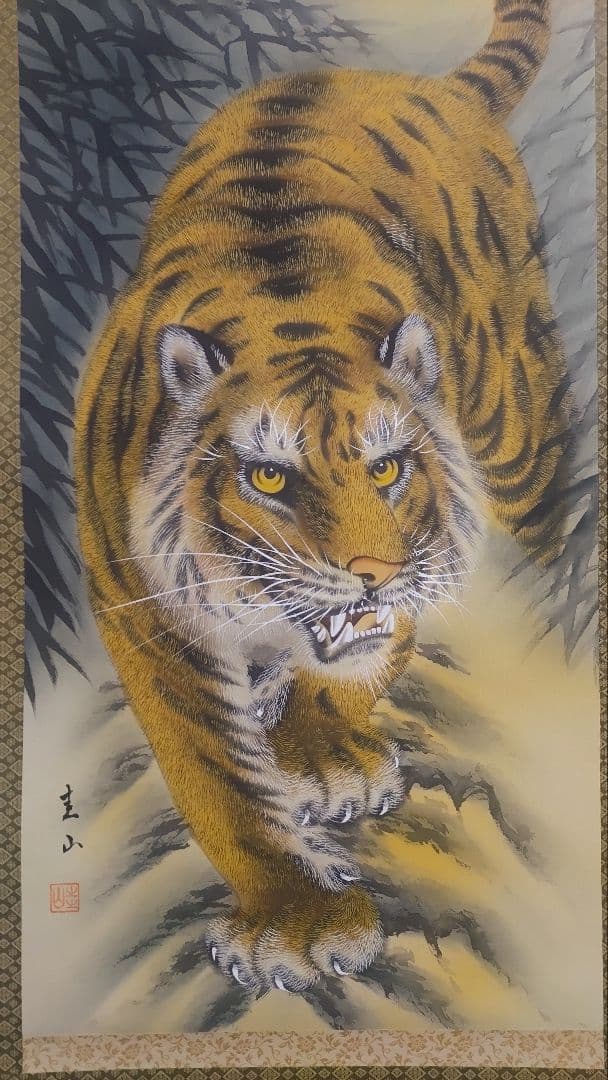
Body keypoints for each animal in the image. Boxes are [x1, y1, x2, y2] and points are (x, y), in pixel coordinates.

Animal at [74, 0, 571, 993]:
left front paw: (324, 757)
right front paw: (297, 922)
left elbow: (367, 660)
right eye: (270, 477)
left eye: (387, 469)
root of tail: (424, 84)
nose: (374, 569)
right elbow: (216, 775)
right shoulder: (146, 609)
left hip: (522, 426)